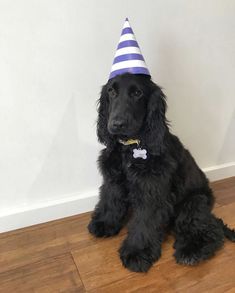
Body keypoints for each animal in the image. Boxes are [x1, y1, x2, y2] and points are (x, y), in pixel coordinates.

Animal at [88, 72, 235, 272]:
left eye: (137, 93)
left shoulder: (151, 192)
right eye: (111, 91)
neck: (130, 148)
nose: (117, 124)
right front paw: (105, 223)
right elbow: (110, 201)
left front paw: (137, 252)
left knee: (209, 230)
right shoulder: (113, 179)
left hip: (193, 202)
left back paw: (192, 251)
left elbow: (144, 222)